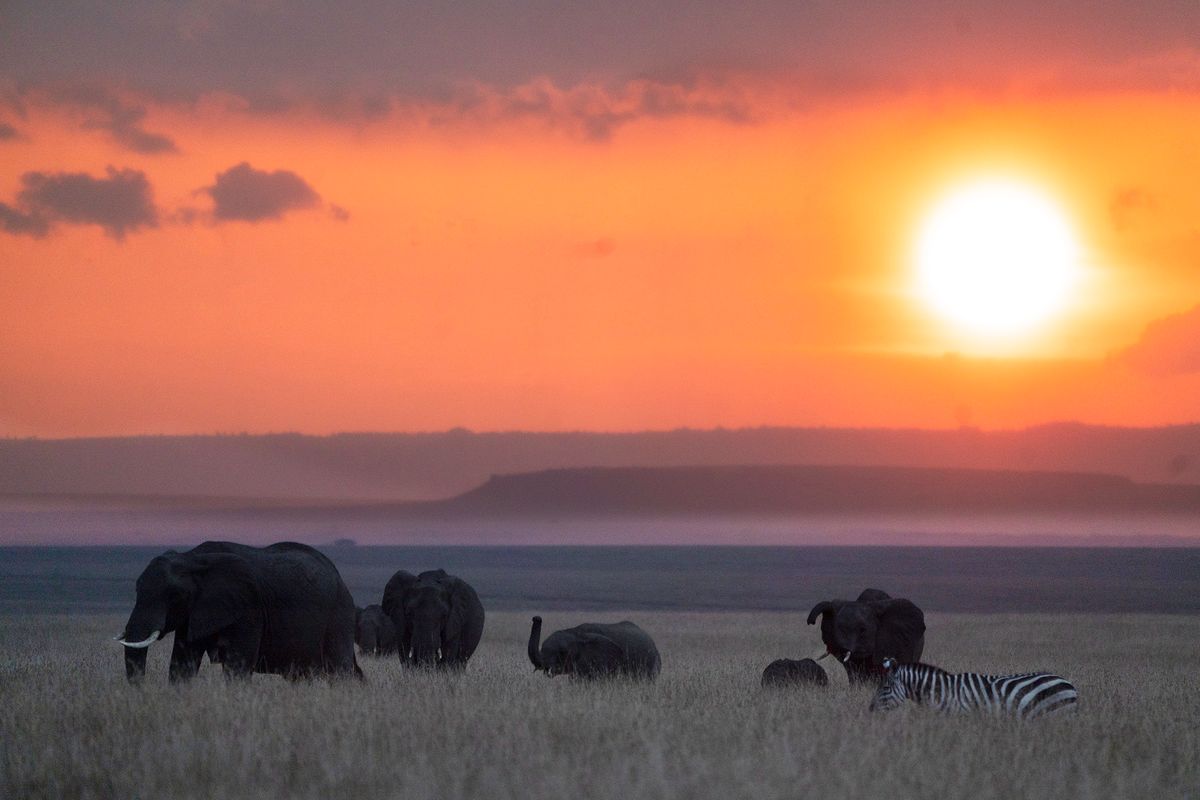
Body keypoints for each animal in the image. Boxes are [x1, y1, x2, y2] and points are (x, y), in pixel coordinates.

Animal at [116, 537, 360, 681]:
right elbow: (182, 663)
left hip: (338, 612)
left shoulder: (248, 606)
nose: (141, 690)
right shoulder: (195, 612)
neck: (192, 559)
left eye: (174, 596)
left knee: (341, 669)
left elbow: (238, 666)